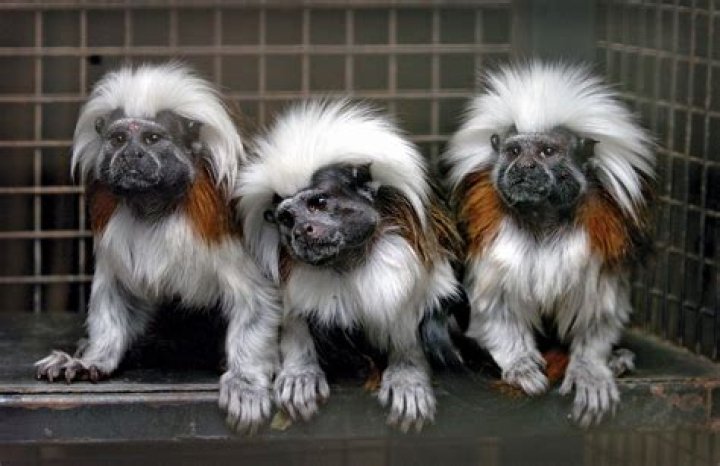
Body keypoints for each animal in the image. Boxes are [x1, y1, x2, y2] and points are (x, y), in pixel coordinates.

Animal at [34, 63, 280, 434]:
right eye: (119, 139)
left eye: (151, 139)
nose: (131, 155)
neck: (155, 207)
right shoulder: (109, 217)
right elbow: (118, 294)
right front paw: (92, 358)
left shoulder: (219, 221)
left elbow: (256, 302)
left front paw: (246, 381)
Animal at [237, 100, 463, 432]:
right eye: (287, 218)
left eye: (318, 203)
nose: (301, 231)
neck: (349, 262)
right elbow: (292, 319)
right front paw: (300, 371)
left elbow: (416, 314)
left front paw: (408, 374)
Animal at [442, 62, 654, 427]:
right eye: (514, 151)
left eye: (547, 152)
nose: (525, 167)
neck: (542, 220)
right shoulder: (491, 236)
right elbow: (494, 307)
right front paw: (520, 365)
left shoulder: (600, 238)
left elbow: (597, 311)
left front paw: (591, 369)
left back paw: (617, 359)